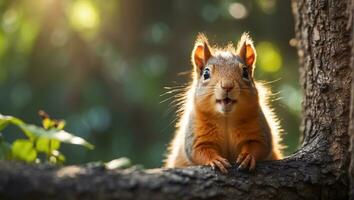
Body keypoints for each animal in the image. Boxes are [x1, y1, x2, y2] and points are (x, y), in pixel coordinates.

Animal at [165, 32, 284, 173]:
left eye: (245, 72)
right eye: (206, 73)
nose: (227, 86)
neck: (226, 118)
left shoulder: (259, 130)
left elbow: (259, 145)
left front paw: (247, 156)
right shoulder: (195, 134)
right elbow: (199, 150)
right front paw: (215, 160)